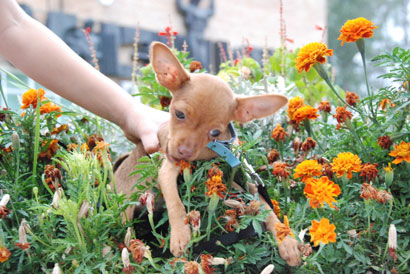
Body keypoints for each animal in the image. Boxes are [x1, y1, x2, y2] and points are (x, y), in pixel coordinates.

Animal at [113, 42, 300, 266]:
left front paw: (286, 240)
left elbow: (266, 208)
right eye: (179, 114)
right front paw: (180, 235)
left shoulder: (244, 184)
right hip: (126, 209)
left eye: (215, 133)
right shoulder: (167, 170)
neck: (206, 155)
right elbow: (175, 201)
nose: (183, 152)